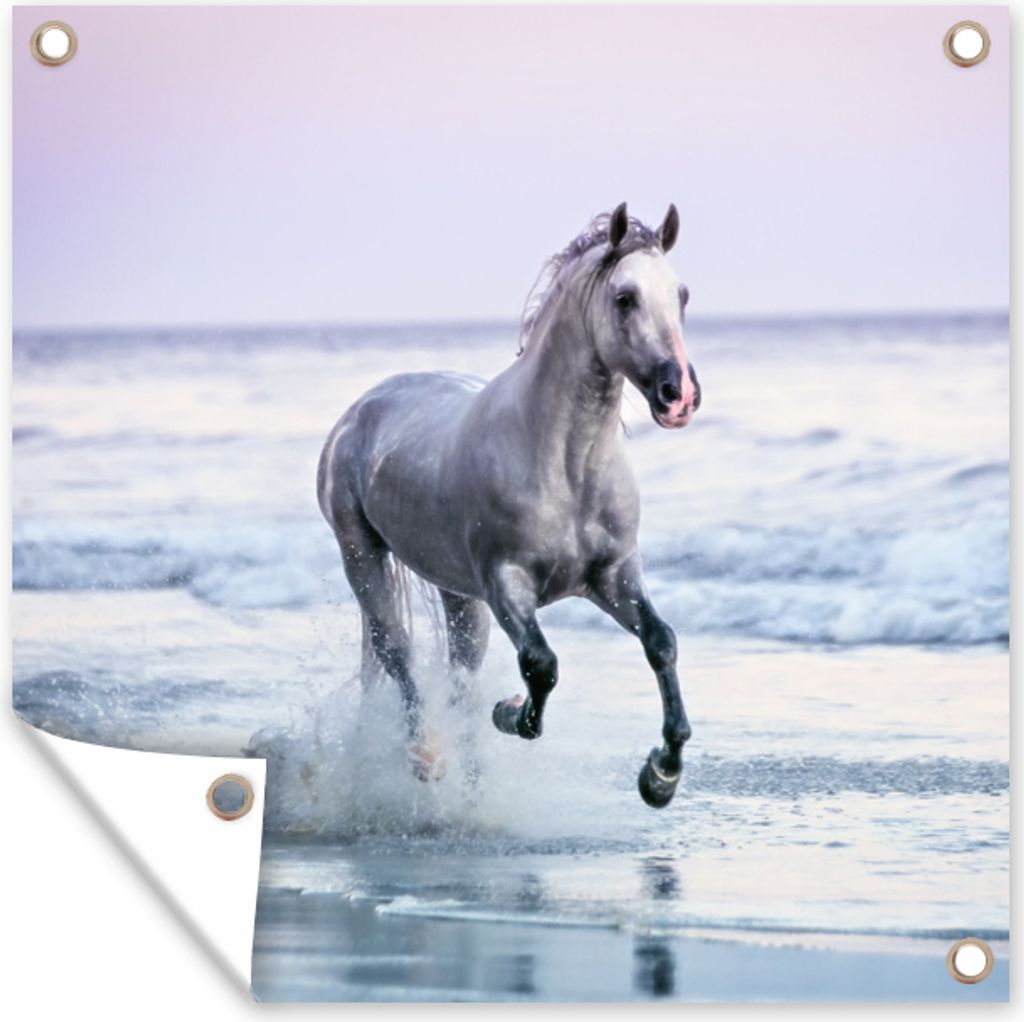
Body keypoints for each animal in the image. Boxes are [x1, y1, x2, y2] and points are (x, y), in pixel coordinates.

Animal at [317, 202, 701, 807]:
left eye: (681, 294)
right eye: (625, 297)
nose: (678, 395)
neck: (566, 464)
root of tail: (359, 410)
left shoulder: (614, 576)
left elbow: (661, 643)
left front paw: (661, 776)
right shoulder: (507, 584)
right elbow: (540, 667)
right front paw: (511, 711)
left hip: (456, 593)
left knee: (460, 675)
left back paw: (473, 791)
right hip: (363, 556)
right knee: (396, 652)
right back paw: (426, 756)